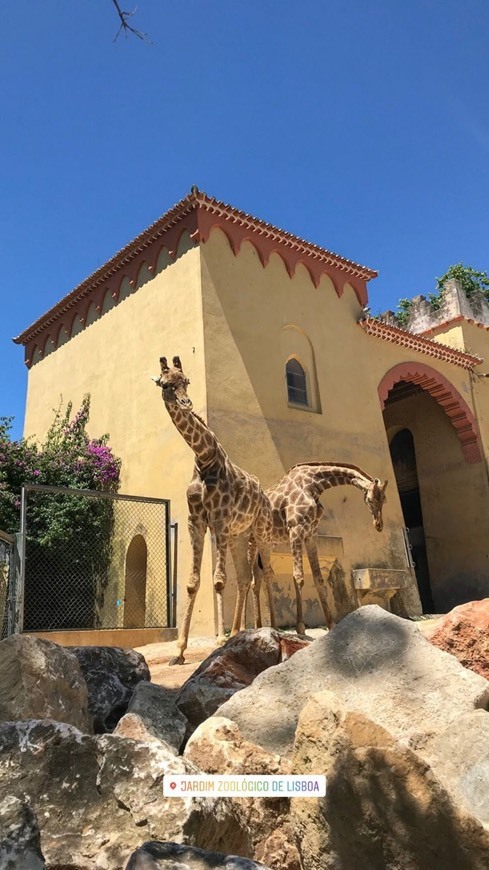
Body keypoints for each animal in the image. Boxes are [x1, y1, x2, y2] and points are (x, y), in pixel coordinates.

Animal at [153, 358, 272, 664]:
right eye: (166, 384)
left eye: (187, 380)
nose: (186, 403)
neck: (204, 457)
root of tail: (263, 493)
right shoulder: (196, 521)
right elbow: (193, 583)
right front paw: (179, 651)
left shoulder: (219, 520)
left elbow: (218, 581)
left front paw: (218, 640)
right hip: (239, 536)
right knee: (244, 578)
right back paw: (239, 632)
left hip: (259, 532)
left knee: (263, 574)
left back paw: (278, 628)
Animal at [246, 466, 386, 636]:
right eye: (370, 499)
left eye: (384, 499)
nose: (379, 525)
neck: (313, 486)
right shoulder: (295, 529)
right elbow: (298, 577)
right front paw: (300, 628)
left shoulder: (311, 534)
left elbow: (318, 579)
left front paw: (331, 625)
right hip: (251, 542)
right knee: (251, 579)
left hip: (265, 544)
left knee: (259, 578)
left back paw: (261, 626)